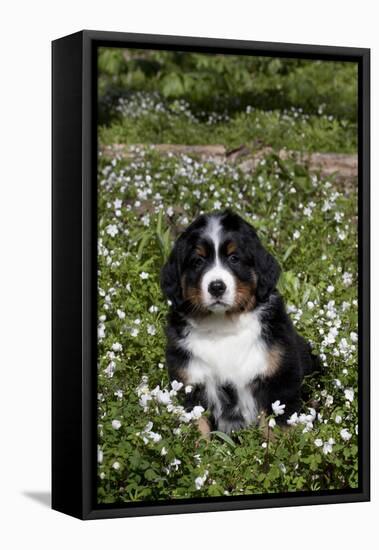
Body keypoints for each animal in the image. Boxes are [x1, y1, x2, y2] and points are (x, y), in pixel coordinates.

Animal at [159, 211, 320, 436]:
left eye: (234, 258)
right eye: (198, 261)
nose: (217, 287)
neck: (224, 325)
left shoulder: (279, 381)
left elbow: (276, 430)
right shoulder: (191, 383)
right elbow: (199, 431)